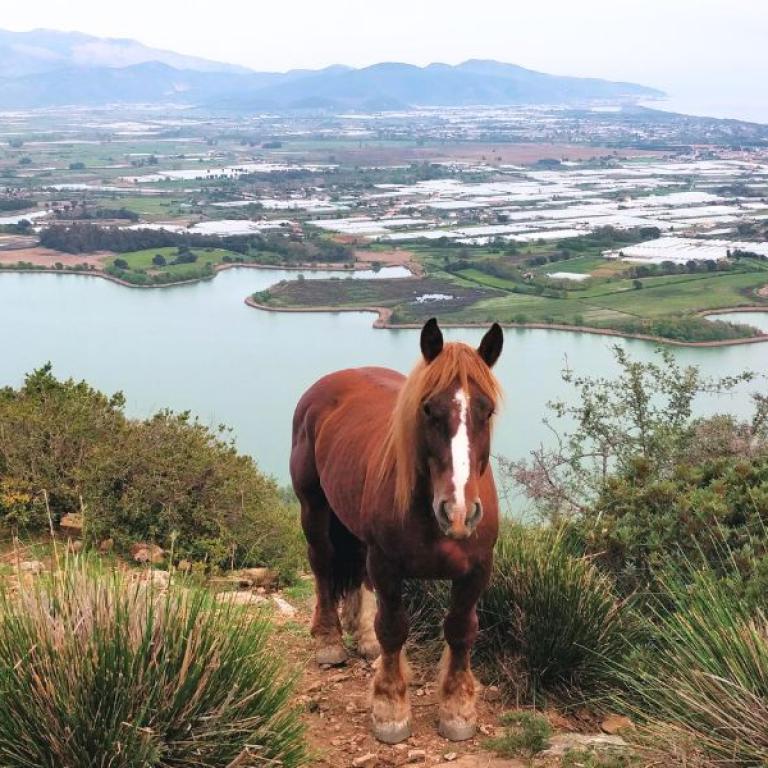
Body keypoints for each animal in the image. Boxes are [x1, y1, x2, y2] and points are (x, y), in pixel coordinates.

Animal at [290, 318, 503, 744]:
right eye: (429, 410)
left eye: (486, 411)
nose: (458, 512)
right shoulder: (387, 565)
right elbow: (393, 628)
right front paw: (390, 708)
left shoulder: (476, 570)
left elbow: (461, 630)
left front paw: (457, 709)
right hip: (314, 508)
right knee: (322, 565)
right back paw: (329, 640)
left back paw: (363, 639)